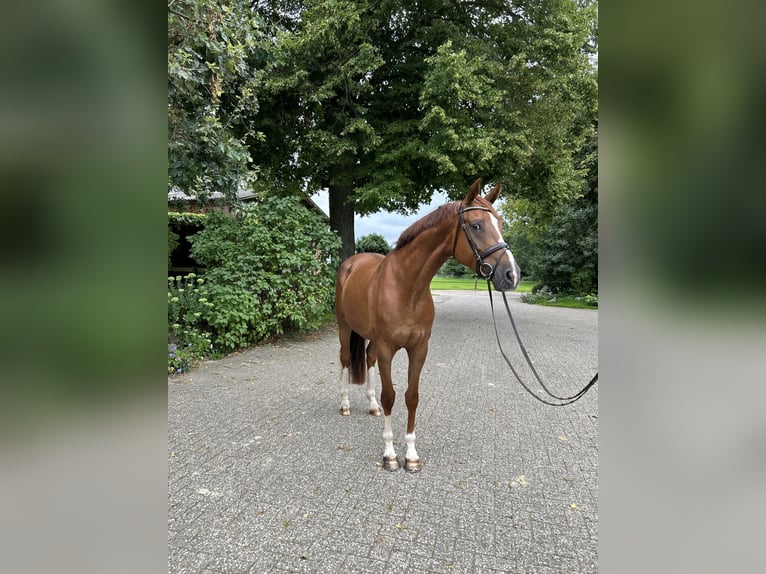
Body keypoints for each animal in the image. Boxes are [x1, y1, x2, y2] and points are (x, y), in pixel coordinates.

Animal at [334, 181, 520, 472]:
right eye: (476, 225)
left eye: (500, 223)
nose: (512, 275)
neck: (406, 287)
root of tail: (350, 264)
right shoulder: (388, 349)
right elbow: (391, 396)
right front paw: (390, 455)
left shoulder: (419, 349)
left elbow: (412, 397)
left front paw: (411, 455)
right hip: (344, 327)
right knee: (344, 359)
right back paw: (344, 405)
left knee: (368, 358)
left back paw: (372, 405)